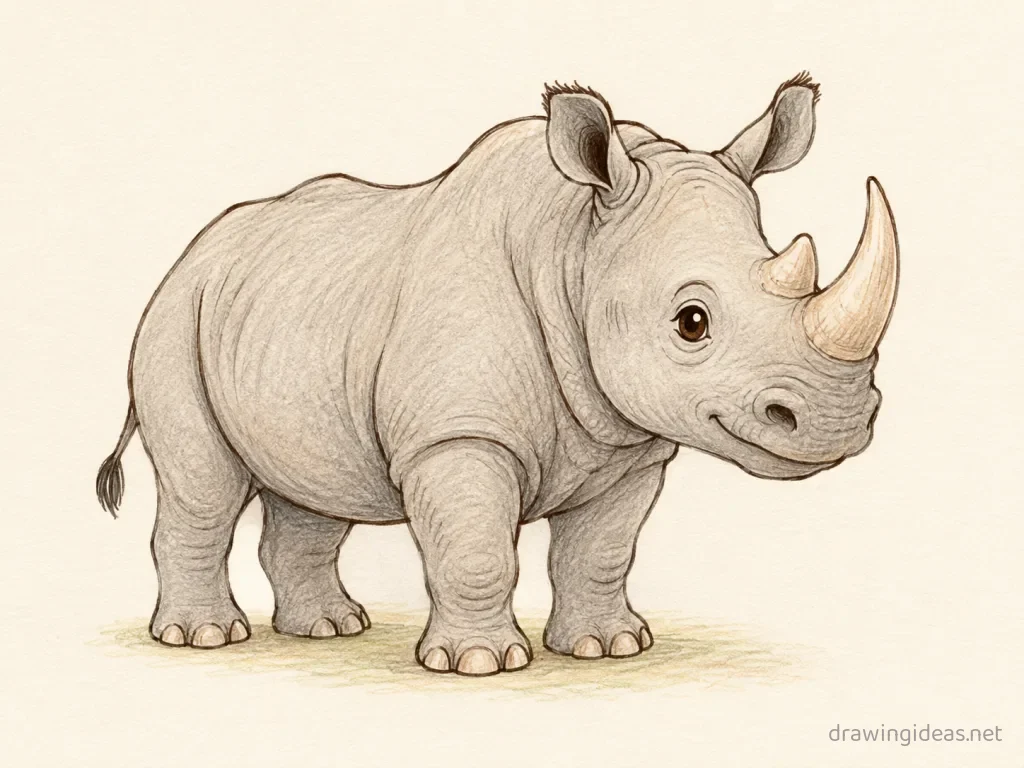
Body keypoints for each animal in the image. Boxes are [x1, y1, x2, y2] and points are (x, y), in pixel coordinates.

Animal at [96, 73, 898, 676]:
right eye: (691, 321)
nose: (838, 422)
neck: (576, 247)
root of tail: (194, 251)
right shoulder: (456, 437)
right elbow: (477, 551)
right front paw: (479, 664)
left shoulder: (630, 447)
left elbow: (602, 552)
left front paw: (607, 647)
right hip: (175, 319)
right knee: (204, 486)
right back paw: (205, 639)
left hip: (279, 329)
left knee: (310, 490)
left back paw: (330, 629)